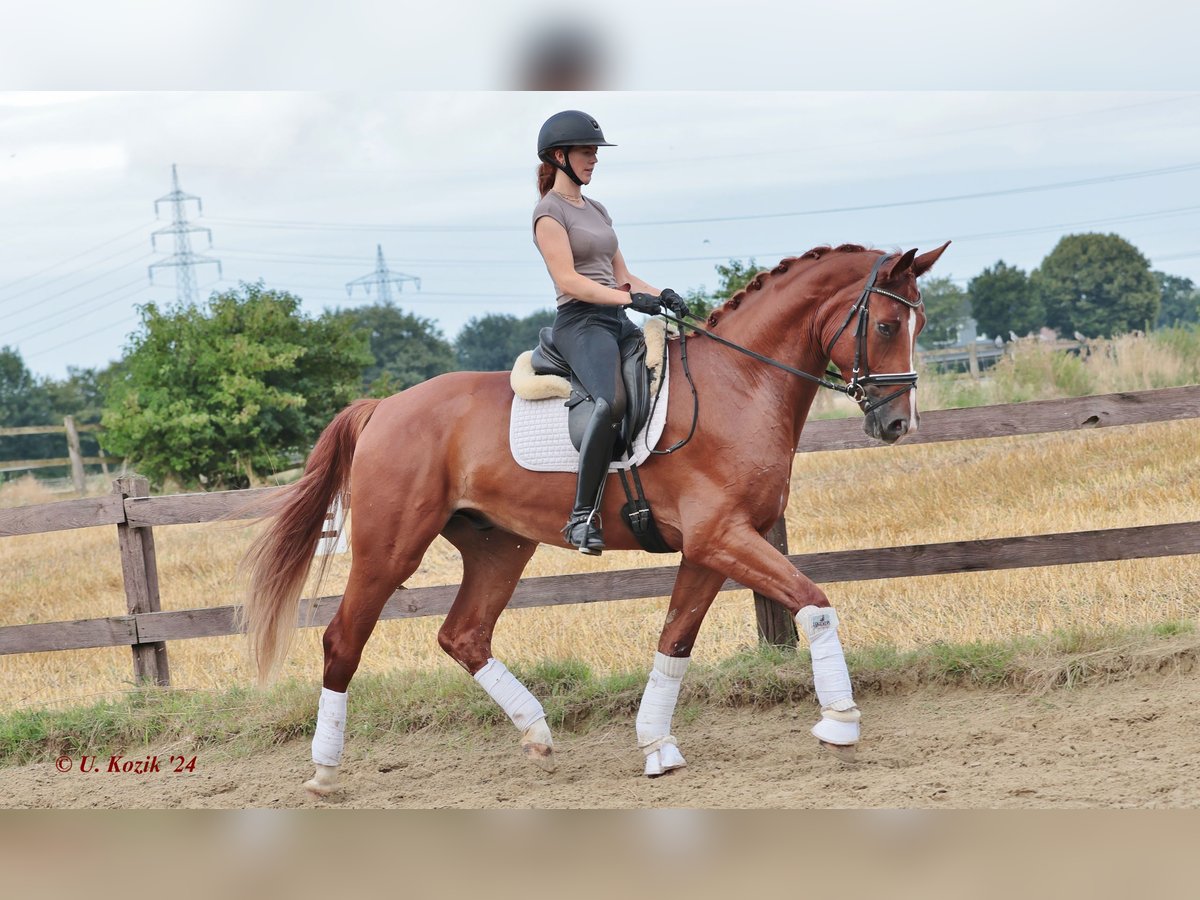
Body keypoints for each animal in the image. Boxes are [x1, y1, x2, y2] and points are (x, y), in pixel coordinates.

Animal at [241, 241, 945, 796]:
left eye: (920, 322)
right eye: (887, 325)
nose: (897, 424)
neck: (740, 384)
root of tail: (384, 407)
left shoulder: (709, 548)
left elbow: (675, 640)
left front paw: (657, 747)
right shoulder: (724, 537)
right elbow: (814, 602)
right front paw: (840, 724)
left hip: (500, 547)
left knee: (464, 635)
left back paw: (537, 733)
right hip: (390, 548)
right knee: (343, 640)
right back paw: (324, 771)